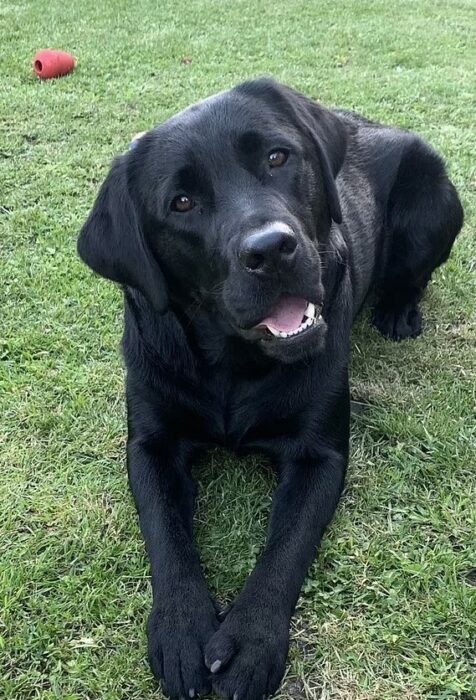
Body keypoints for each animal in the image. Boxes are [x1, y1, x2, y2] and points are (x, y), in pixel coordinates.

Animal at [77, 78, 462, 700]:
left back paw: (399, 309)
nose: (271, 249)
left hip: (432, 199)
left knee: (414, 274)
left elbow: (287, 545)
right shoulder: (150, 443)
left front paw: (252, 642)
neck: (235, 364)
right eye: (181, 202)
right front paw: (181, 629)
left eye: (278, 158)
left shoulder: (318, 454)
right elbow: (166, 533)